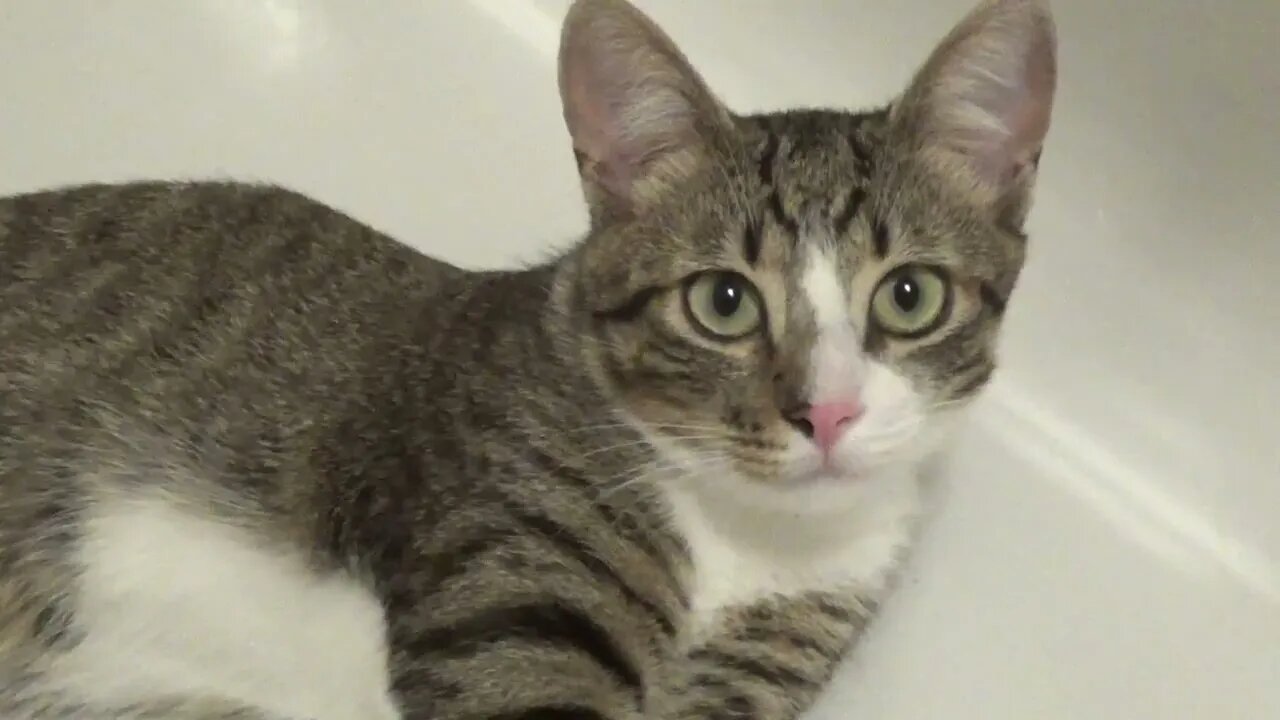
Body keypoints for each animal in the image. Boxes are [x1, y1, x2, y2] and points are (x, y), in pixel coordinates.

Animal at [0, 0, 1059, 712]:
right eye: (722, 302)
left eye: (910, 295)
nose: (827, 412)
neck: (745, 537)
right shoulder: (511, 584)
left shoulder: (784, 639)